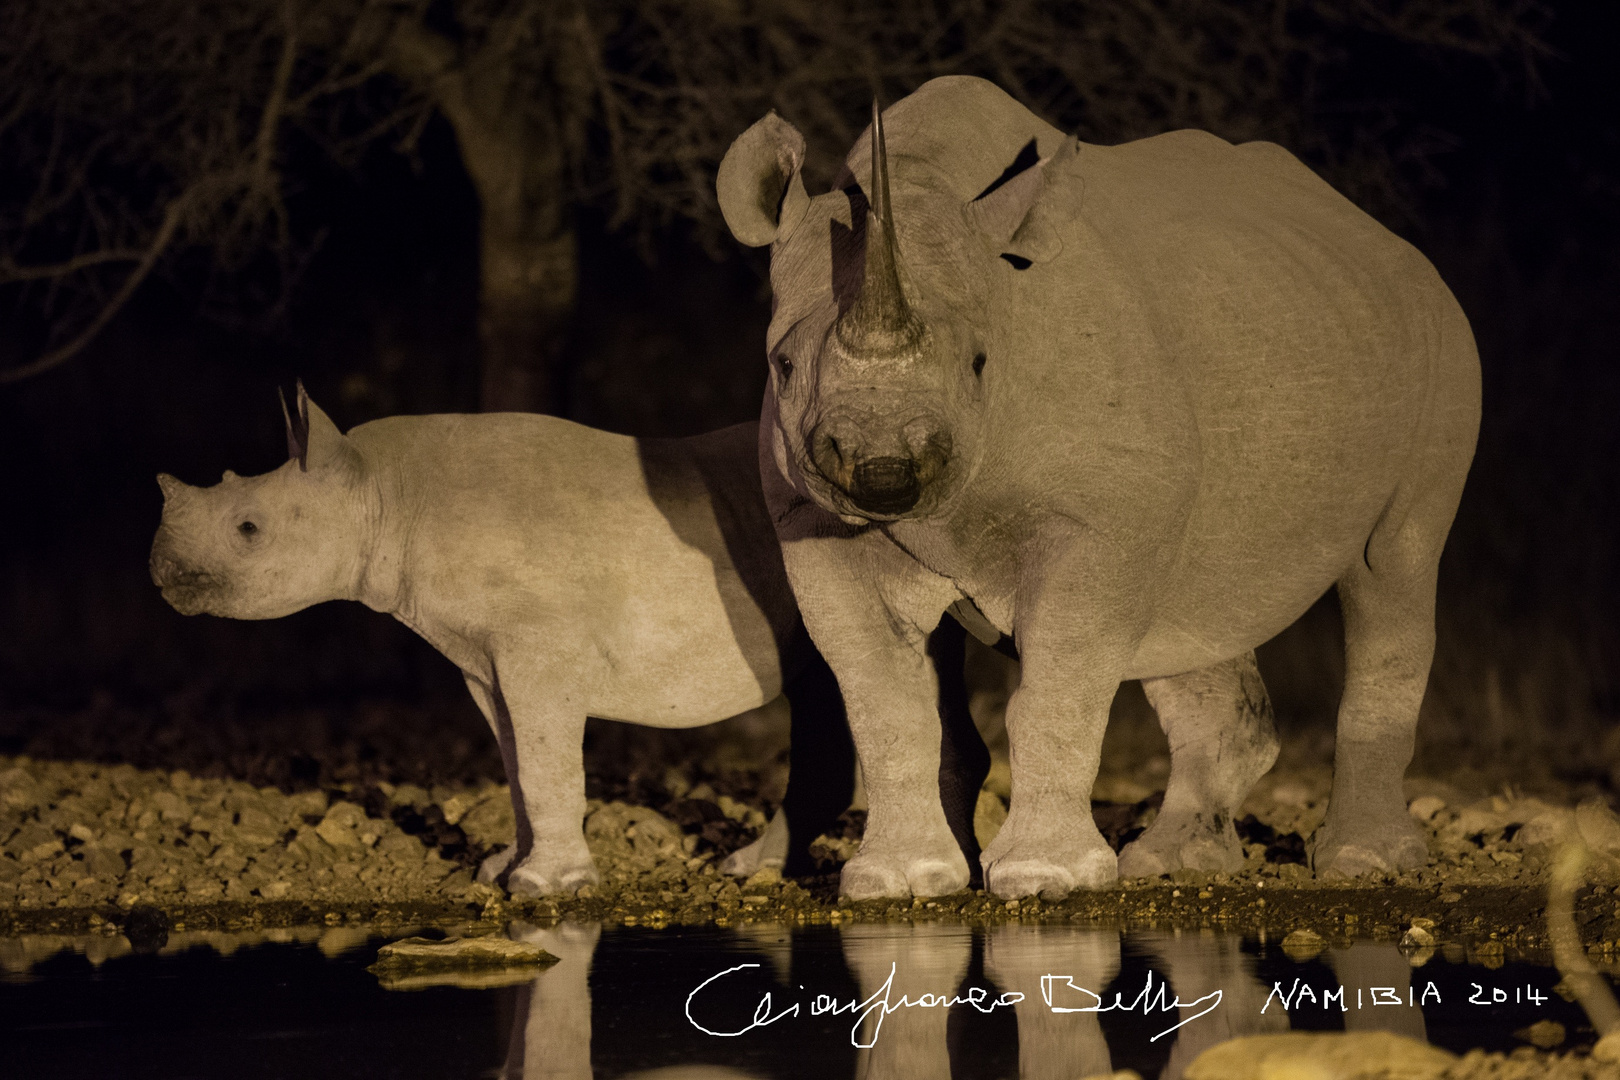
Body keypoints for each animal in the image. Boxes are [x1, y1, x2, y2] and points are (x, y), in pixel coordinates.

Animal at [152, 386, 984, 893]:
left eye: (248, 529)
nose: (162, 572)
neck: (376, 492)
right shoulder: (480, 659)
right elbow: (516, 758)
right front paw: (501, 868)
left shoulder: (533, 645)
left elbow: (546, 759)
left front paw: (545, 885)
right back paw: (754, 867)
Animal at [722, 76, 1483, 900]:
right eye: (783, 365)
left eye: (980, 363)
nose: (883, 470)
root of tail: (1390, 243)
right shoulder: (814, 522)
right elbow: (887, 703)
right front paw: (902, 879)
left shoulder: (1095, 520)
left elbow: (1059, 683)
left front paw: (1045, 876)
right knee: (1195, 602)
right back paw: (1172, 859)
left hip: (1441, 343)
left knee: (1393, 562)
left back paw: (1363, 862)